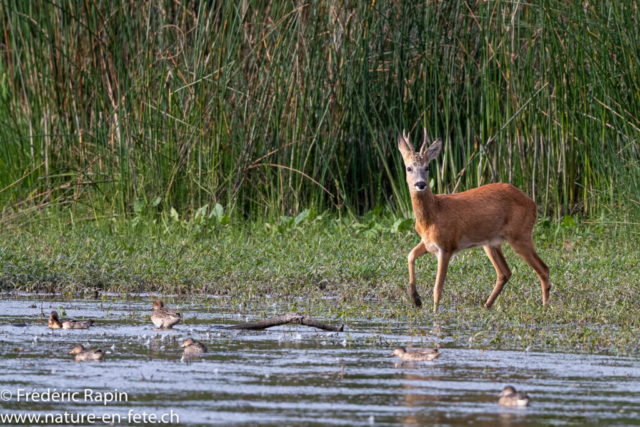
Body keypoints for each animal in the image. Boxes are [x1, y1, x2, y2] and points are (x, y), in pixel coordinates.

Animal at [396, 129, 552, 312]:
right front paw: (416, 300)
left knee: (543, 269)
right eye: (409, 168)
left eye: (427, 167)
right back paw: (487, 305)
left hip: (520, 236)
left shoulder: (447, 246)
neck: (433, 214)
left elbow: (437, 287)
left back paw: (545, 307)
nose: (420, 184)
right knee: (505, 272)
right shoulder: (428, 243)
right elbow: (410, 255)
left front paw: (434, 314)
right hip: (491, 243)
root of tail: (533, 204)